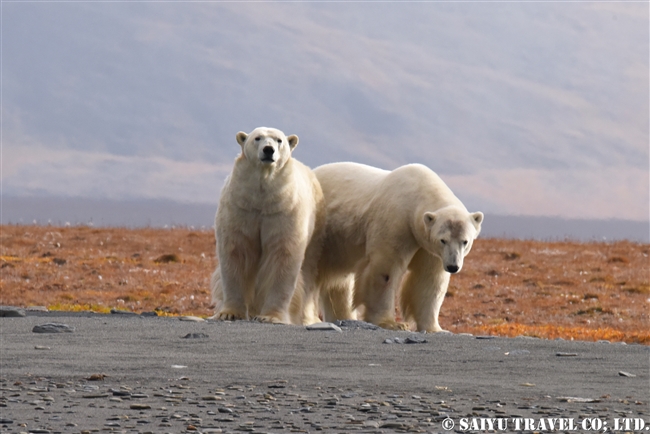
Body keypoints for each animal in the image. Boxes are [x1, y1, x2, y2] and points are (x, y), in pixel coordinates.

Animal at [211, 127, 324, 324]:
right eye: (257, 138)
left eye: (279, 140)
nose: (268, 150)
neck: (262, 198)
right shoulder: (240, 207)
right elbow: (236, 252)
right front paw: (228, 312)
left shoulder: (283, 212)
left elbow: (283, 256)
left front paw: (271, 316)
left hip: (316, 230)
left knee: (309, 274)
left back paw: (308, 317)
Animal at [308, 163, 480, 332]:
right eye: (443, 240)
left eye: (465, 241)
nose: (453, 266)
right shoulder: (396, 221)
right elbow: (386, 271)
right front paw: (392, 323)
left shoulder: (428, 247)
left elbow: (429, 279)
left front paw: (435, 328)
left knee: (339, 281)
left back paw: (344, 316)